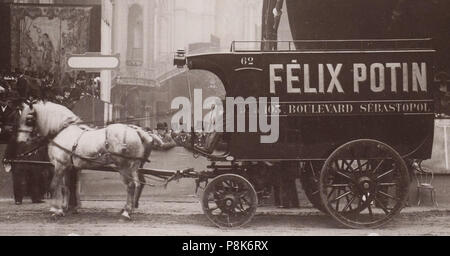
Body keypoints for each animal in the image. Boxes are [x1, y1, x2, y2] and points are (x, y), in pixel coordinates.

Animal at [16, 101, 156, 219]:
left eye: (28, 119)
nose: (20, 141)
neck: (62, 131)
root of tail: (136, 131)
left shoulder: (60, 165)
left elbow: (54, 185)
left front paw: (56, 210)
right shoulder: (69, 167)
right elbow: (65, 188)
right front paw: (65, 208)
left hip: (123, 166)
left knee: (130, 185)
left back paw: (126, 212)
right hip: (134, 166)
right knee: (137, 184)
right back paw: (129, 209)